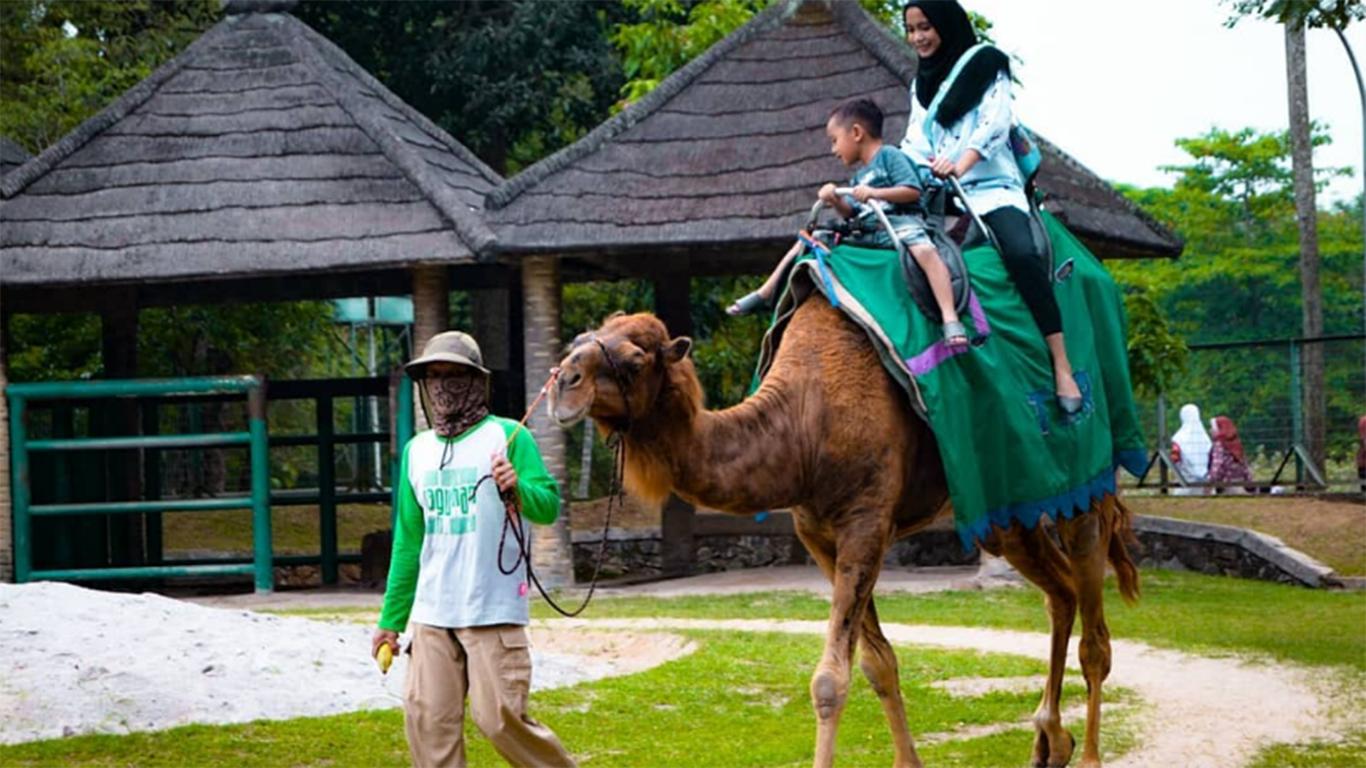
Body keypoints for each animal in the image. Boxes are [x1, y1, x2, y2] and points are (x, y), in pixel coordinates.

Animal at [549, 297, 1136, 765]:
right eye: (577, 341)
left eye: (635, 359)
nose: (561, 384)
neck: (802, 427)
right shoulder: (819, 534)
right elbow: (878, 664)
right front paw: (909, 762)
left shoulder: (866, 521)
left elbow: (831, 680)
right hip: (1008, 509)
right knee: (1060, 592)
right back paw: (1048, 742)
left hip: (1085, 481)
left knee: (1094, 631)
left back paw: (1087, 754)